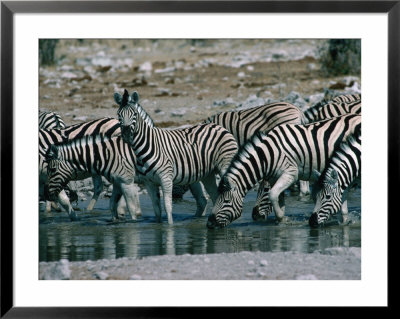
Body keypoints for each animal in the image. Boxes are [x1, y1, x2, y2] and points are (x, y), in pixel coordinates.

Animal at [115, 90, 238, 225]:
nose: (126, 135)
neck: (148, 145)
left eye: (135, 114)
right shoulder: (149, 182)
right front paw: (159, 226)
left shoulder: (166, 178)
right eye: (118, 115)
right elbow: (156, 209)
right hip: (208, 174)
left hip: (224, 165)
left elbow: (167, 206)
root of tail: (219, 127)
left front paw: (170, 226)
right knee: (215, 196)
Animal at [208, 114, 360, 229]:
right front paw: (280, 220)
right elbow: (278, 198)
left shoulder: (290, 174)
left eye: (226, 201)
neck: (268, 155)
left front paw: (282, 220)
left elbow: (273, 195)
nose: (209, 223)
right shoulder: (276, 178)